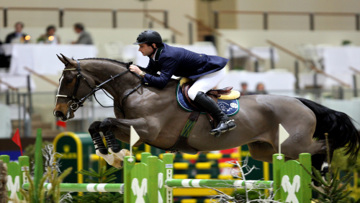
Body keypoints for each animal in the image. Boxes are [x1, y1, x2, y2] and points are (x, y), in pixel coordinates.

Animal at [53, 54, 360, 171]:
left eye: (68, 79)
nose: (58, 113)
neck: (134, 89)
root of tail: (301, 101)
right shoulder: (134, 130)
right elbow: (98, 124)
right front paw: (111, 154)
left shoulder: (147, 128)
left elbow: (104, 120)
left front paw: (115, 154)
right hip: (267, 150)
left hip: (294, 144)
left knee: (323, 146)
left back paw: (325, 169)